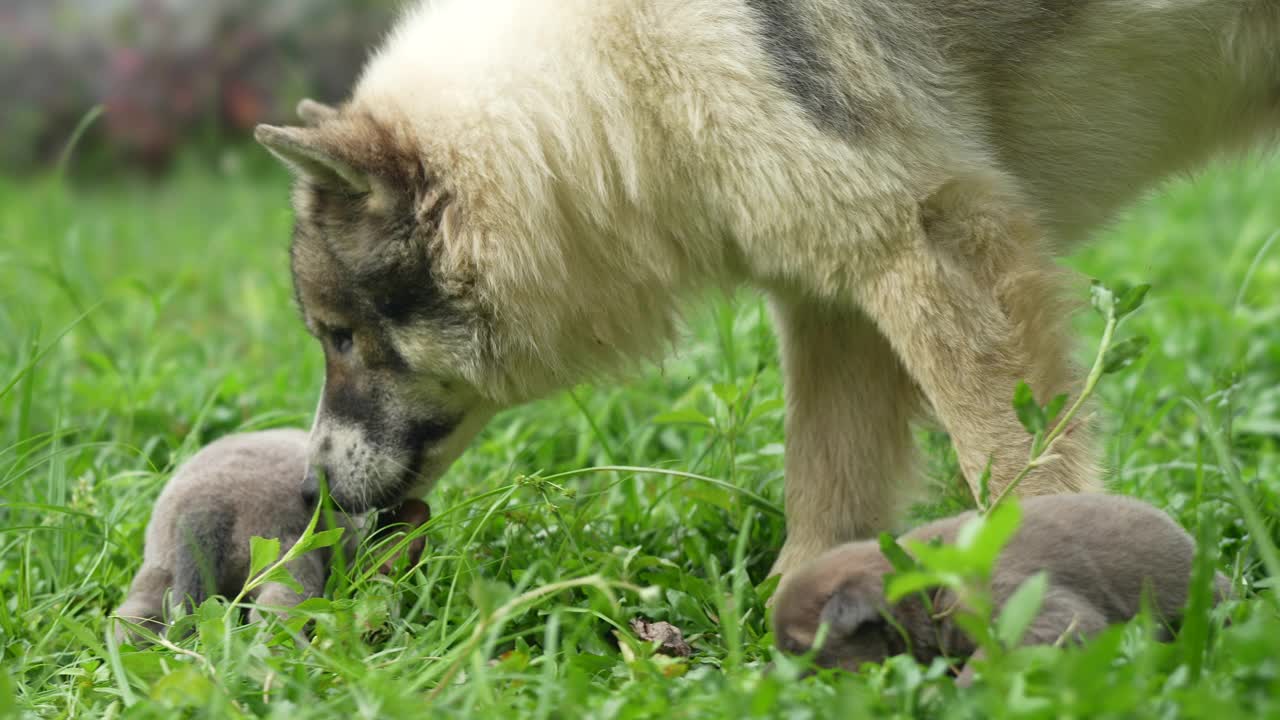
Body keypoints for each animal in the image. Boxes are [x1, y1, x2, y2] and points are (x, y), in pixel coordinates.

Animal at [254, 0, 1274, 571]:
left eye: (338, 336)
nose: (307, 489)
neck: (615, 78)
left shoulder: (929, 235)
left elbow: (1009, 454)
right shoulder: (836, 300)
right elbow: (825, 479)